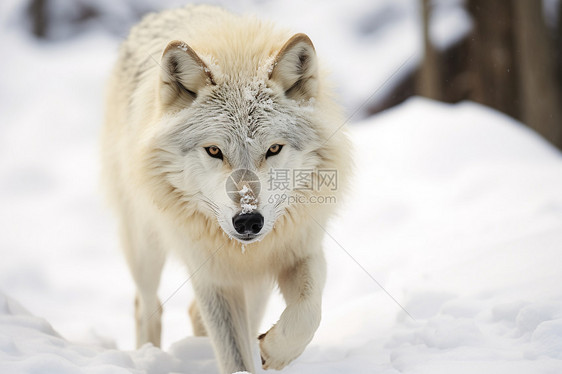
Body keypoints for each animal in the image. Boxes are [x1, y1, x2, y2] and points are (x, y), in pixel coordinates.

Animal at [99, 3, 348, 374]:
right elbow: (234, 354)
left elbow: (307, 313)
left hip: (254, 284)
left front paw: (274, 351)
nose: (248, 221)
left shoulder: (298, 248)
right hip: (145, 246)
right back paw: (147, 356)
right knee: (145, 305)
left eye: (273, 149)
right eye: (215, 150)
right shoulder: (212, 277)